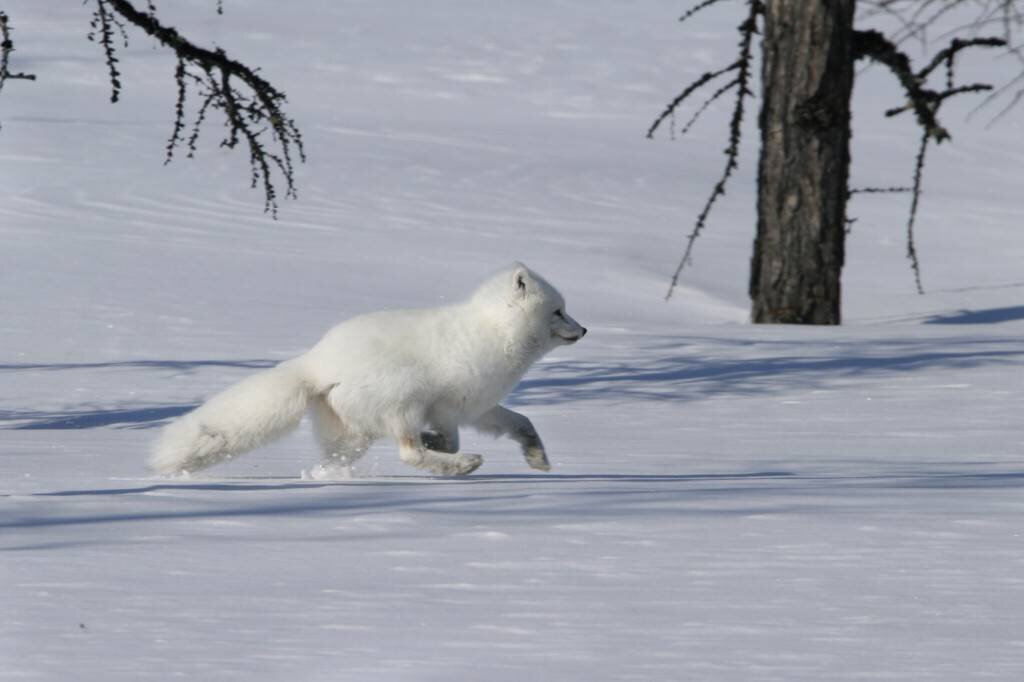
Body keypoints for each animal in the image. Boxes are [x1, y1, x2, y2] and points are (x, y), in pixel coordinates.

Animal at [149, 262, 589, 475]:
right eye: (558, 311)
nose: (584, 329)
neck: (492, 333)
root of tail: (315, 361)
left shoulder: (478, 408)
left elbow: (523, 422)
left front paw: (538, 460)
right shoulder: (449, 406)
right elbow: (446, 441)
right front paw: (441, 448)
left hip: (351, 438)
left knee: (332, 462)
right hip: (401, 399)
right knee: (408, 453)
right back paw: (461, 466)